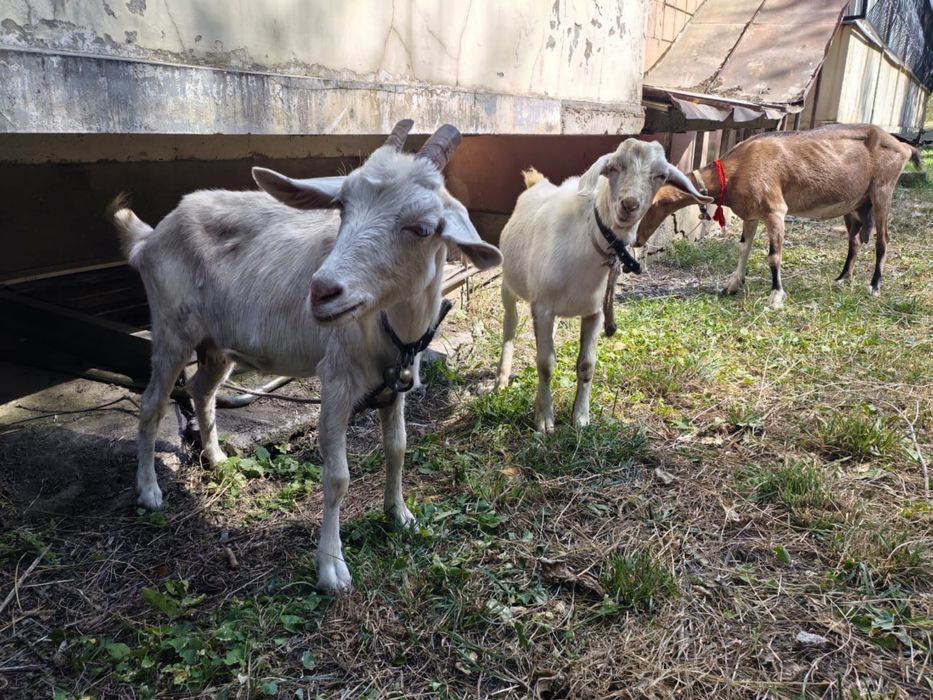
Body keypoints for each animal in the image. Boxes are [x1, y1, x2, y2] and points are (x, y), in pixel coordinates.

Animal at [109, 121, 502, 593]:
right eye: (342, 208)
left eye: (423, 228)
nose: (322, 291)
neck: (388, 327)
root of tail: (151, 238)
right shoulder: (335, 380)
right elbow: (337, 477)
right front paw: (332, 567)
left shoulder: (399, 382)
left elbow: (398, 447)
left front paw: (400, 515)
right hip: (171, 329)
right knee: (152, 403)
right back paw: (149, 491)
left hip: (217, 344)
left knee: (200, 389)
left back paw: (217, 458)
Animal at [494, 139, 711, 432]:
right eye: (613, 167)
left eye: (661, 175)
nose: (629, 204)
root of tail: (536, 183)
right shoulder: (543, 306)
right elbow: (545, 364)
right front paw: (545, 420)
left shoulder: (594, 311)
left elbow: (586, 365)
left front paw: (580, 418)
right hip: (509, 284)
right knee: (510, 324)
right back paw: (501, 379)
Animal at [635, 124, 923, 307]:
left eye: (649, 205)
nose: (636, 241)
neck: (737, 168)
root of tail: (902, 146)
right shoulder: (751, 215)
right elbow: (744, 248)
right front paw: (732, 286)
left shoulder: (775, 211)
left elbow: (773, 256)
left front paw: (776, 296)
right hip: (856, 205)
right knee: (856, 241)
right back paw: (843, 279)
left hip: (882, 192)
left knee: (883, 240)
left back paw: (874, 286)